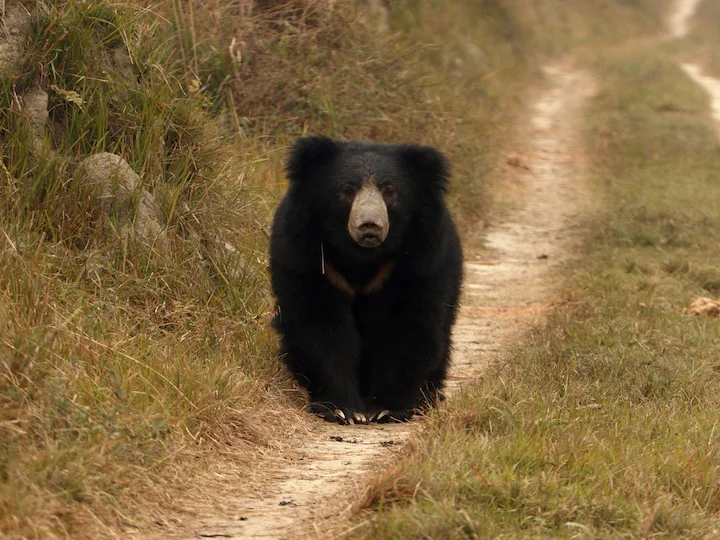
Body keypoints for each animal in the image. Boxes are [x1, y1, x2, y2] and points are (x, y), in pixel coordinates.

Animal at [269, 136, 463, 424]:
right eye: (348, 189)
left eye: (389, 190)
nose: (369, 225)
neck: (362, 257)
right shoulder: (305, 256)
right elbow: (319, 325)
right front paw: (342, 409)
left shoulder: (418, 261)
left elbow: (407, 323)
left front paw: (386, 408)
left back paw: (429, 397)